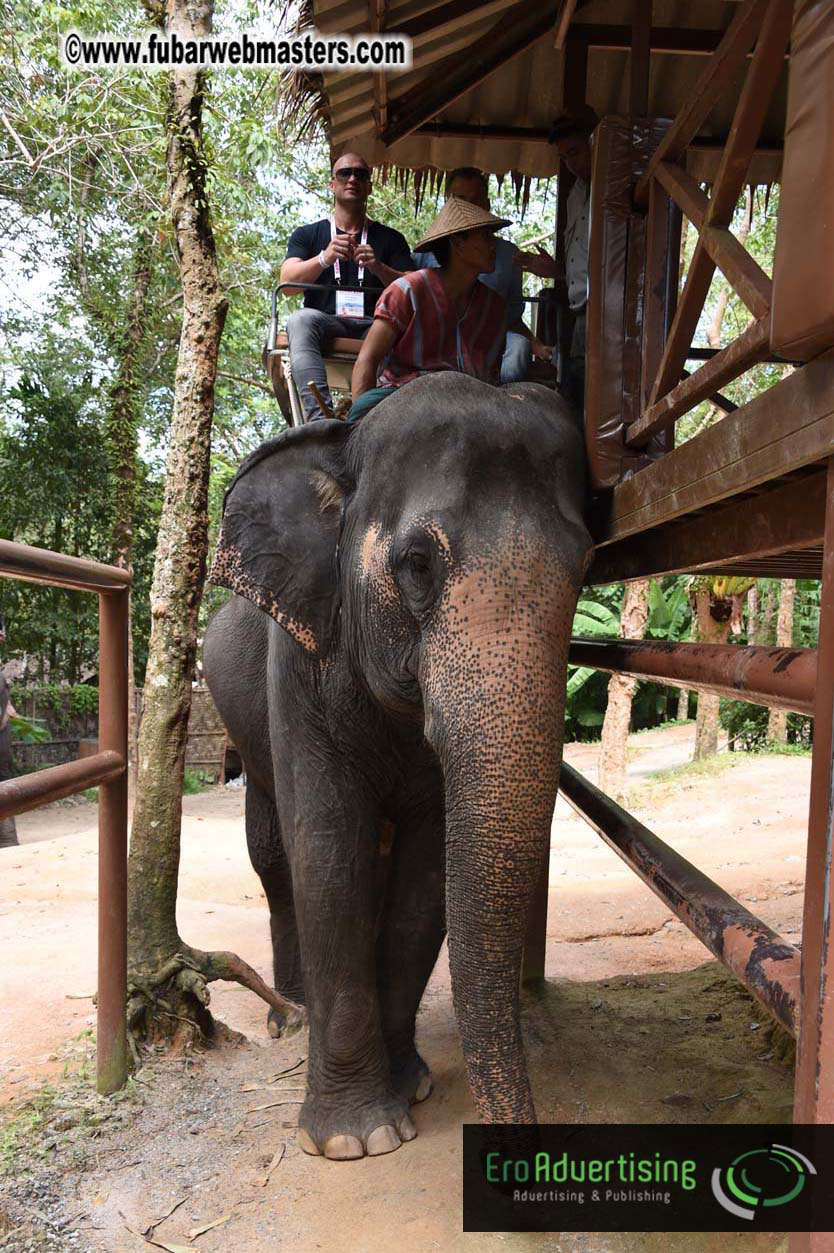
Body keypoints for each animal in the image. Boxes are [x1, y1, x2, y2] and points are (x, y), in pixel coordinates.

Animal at [203, 372, 592, 1159]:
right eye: (418, 563)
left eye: (586, 567)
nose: (528, 1155)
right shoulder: (298, 665)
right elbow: (329, 853)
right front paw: (357, 1138)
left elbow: (425, 872)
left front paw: (409, 1085)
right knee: (274, 854)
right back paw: (291, 1016)